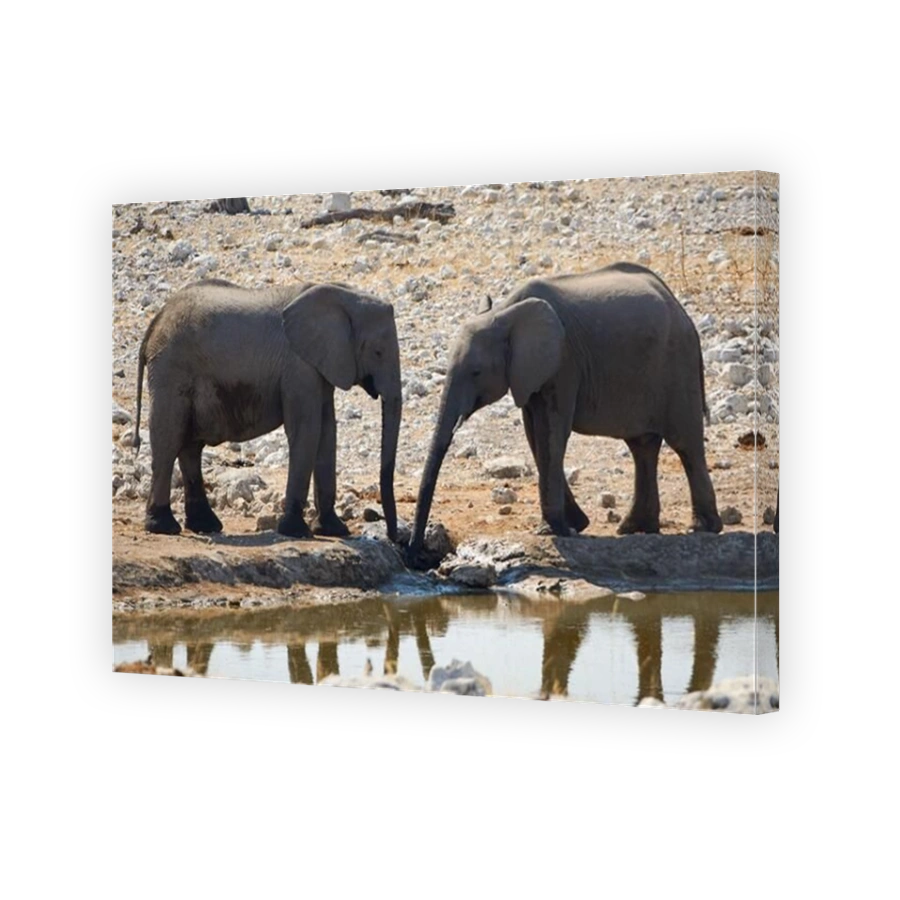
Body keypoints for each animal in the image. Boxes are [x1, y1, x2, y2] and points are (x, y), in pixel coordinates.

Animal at [133, 278, 402, 540]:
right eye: (378, 352)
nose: (394, 538)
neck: (344, 294)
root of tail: (156, 321)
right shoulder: (298, 364)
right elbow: (306, 430)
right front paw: (296, 531)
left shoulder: (321, 365)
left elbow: (327, 431)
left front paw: (334, 530)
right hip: (171, 368)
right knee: (169, 438)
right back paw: (163, 527)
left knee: (190, 445)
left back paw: (205, 526)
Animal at [407, 262, 722, 563]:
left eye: (476, 372)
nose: (416, 553)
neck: (506, 311)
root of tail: (681, 310)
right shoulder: (532, 372)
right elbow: (535, 435)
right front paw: (573, 525)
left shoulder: (564, 362)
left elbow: (552, 433)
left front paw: (554, 529)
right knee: (642, 446)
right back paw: (636, 528)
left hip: (677, 364)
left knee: (685, 443)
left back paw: (702, 528)